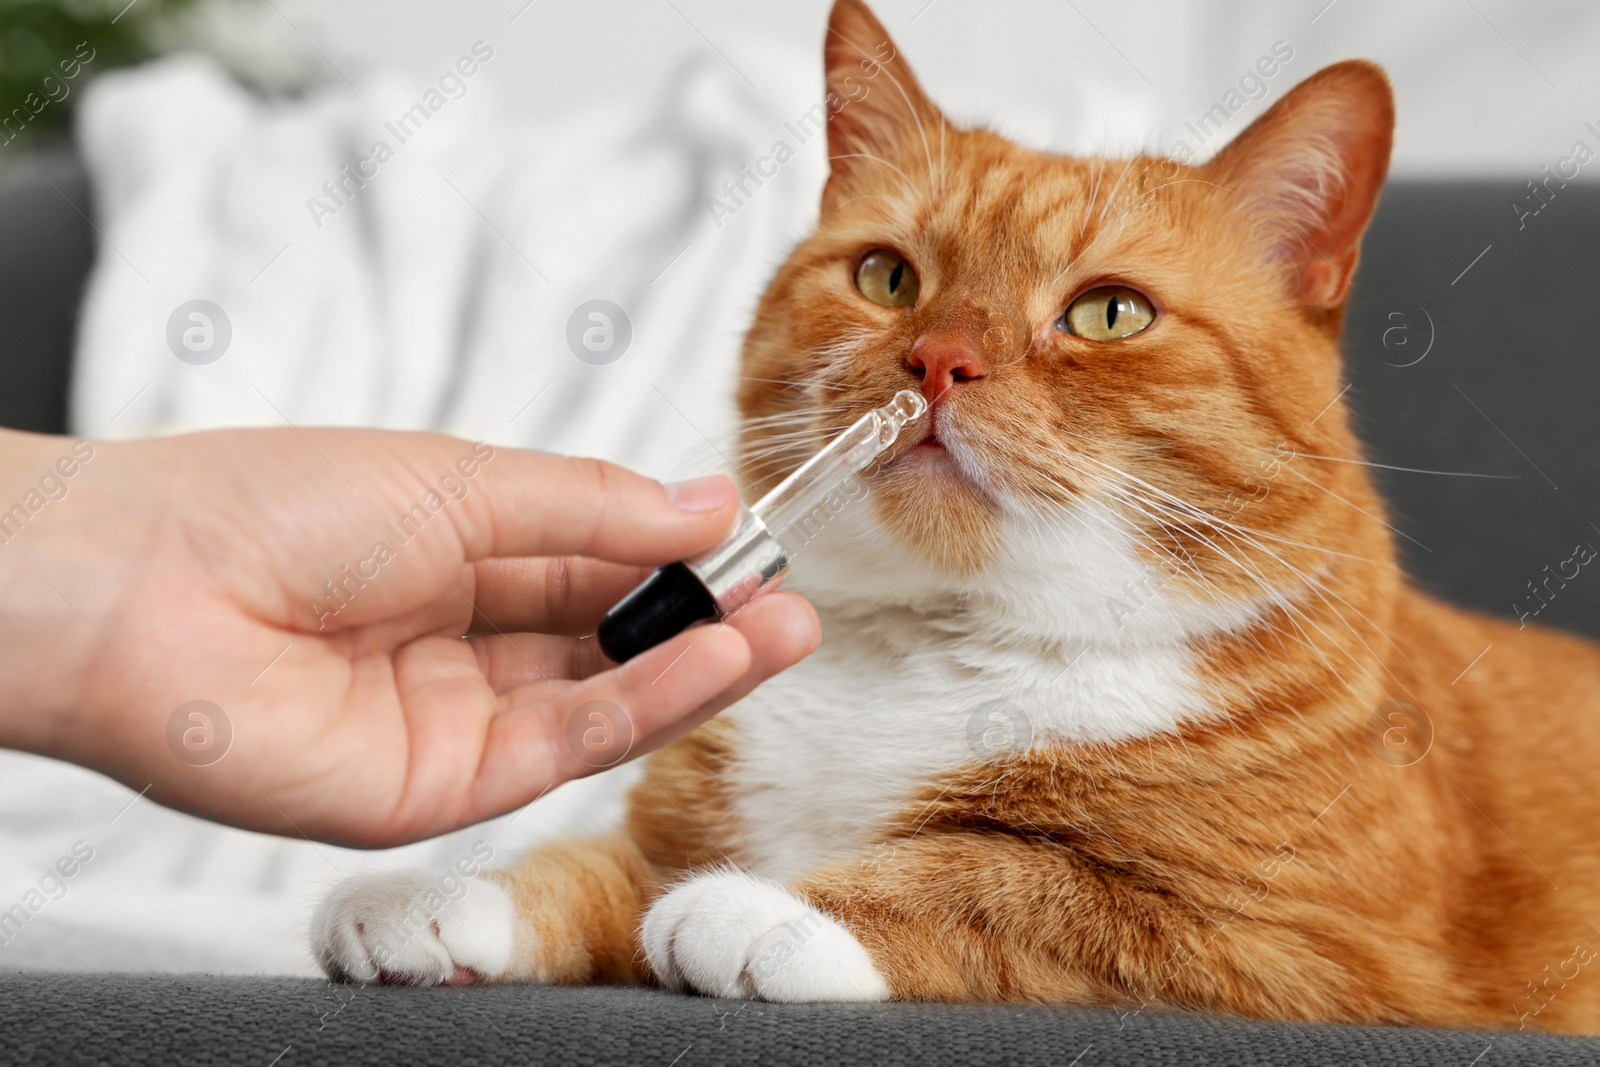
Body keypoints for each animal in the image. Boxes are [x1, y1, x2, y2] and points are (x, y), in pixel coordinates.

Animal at [315, 2, 1600, 1036]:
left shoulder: (1293, 938)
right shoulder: (661, 830)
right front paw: (435, 893)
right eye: (887, 277)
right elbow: (590, 864)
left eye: (1110, 312)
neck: (926, 642)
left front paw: (769, 907)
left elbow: (999, 877)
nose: (937, 361)